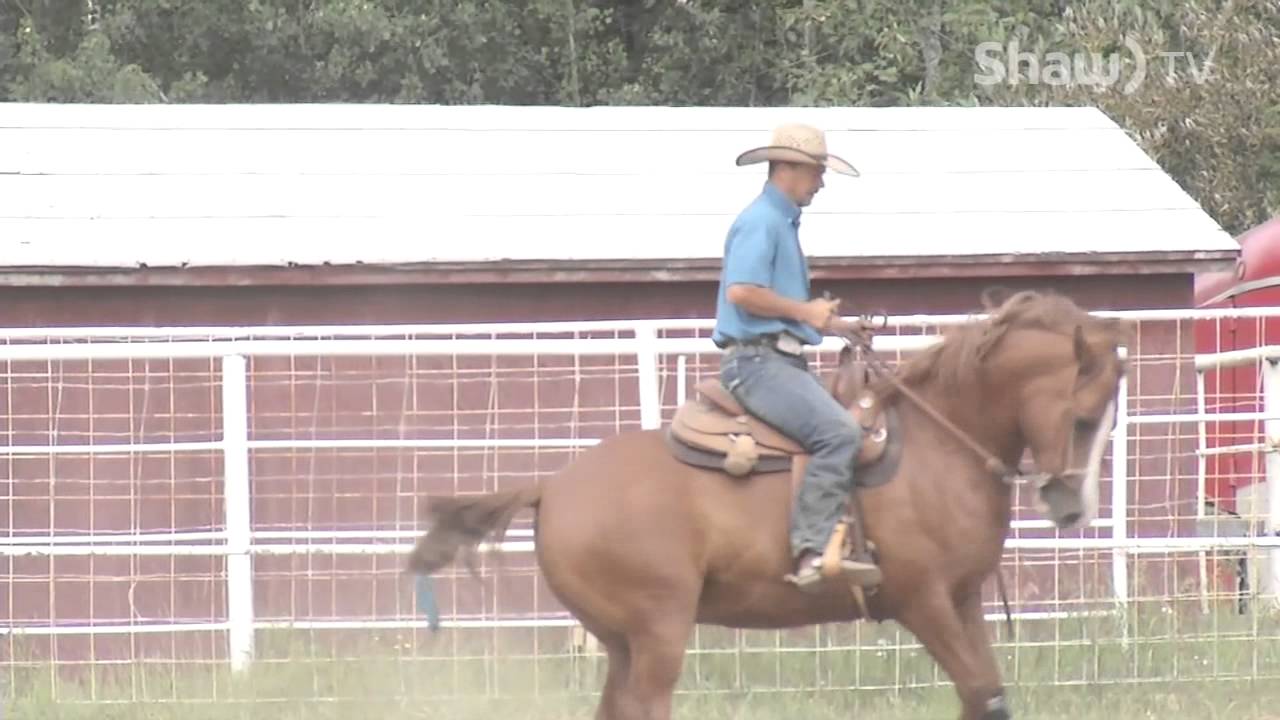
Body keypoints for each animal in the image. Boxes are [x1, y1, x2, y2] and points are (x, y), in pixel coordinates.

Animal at [406, 289, 1132, 720]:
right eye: (1084, 415)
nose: (1070, 504)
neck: (937, 441)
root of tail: (553, 486)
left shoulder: (964, 598)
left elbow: (985, 695)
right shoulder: (921, 600)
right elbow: (982, 692)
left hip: (621, 640)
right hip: (659, 629)